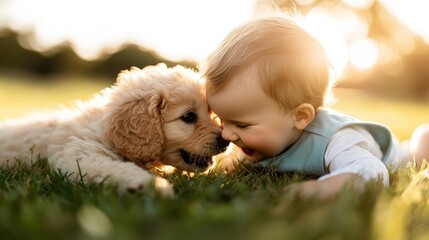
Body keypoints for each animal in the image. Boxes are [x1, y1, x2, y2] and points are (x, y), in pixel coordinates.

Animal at [0, 63, 229, 195]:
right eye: (188, 117)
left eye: (211, 113)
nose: (225, 141)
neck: (106, 129)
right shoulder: (80, 156)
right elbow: (115, 168)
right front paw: (151, 185)